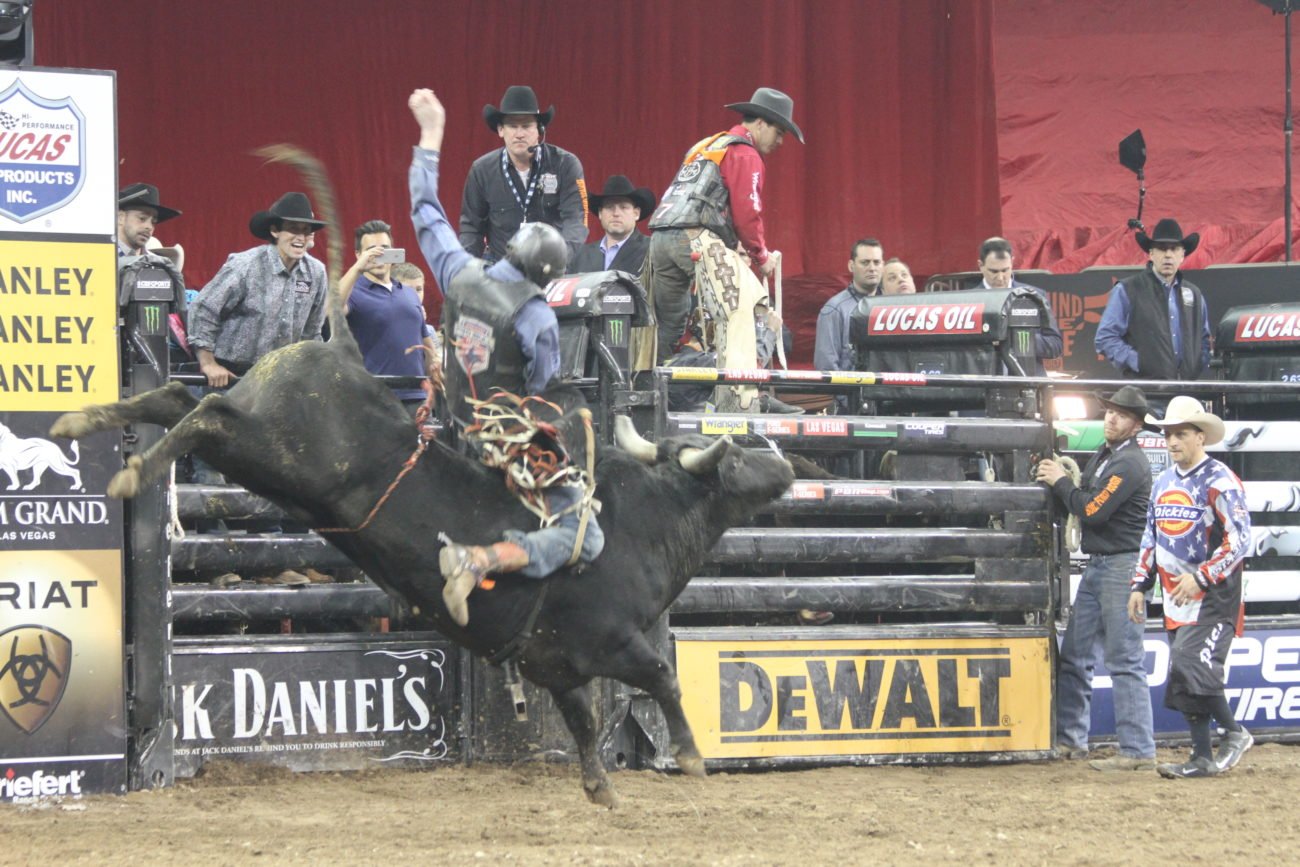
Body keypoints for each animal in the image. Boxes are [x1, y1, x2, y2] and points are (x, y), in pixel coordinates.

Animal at [48, 150, 790, 816]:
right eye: (735, 460)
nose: (782, 461)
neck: (647, 522)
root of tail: (343, 350)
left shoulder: (560, 666)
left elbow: (583, 722)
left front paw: (600, 786)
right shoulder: (616, 639)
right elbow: (664, 676)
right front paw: (689, 755)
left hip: (257, 451)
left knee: (177, 397)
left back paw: (86, 421)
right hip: (267, 447)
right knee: (201, 411)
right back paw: (133, 468)